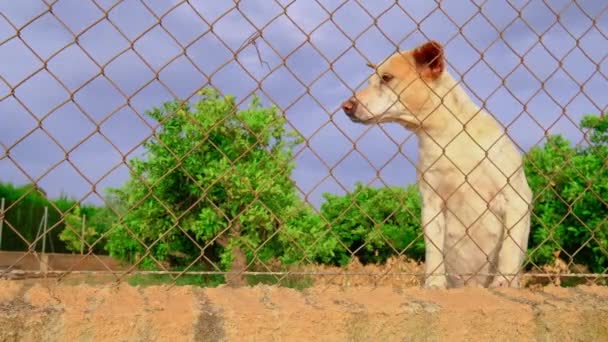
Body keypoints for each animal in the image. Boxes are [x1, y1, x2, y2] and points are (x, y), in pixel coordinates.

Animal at [342, 40, 532, 288]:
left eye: (386, 78)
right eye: (370, 81)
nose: (346, 106)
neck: (447, 136)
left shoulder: (515, 198)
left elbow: (509, 249)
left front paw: (503, 283)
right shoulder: (432, 204)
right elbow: (433, 252)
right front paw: (434, 284)